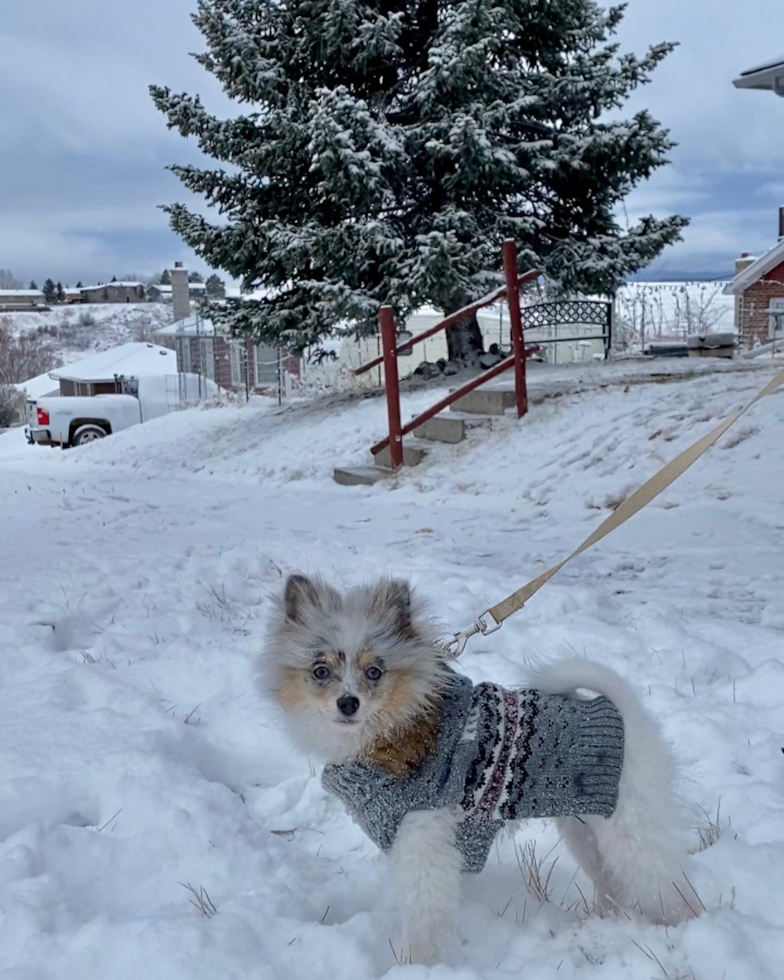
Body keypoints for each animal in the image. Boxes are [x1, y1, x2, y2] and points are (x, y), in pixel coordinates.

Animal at [264, 576, 692, 964]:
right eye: (320, 671)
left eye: (375, 672)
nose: (347, 703)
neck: (396, 730)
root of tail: (620, 710)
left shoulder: (425, 843)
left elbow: (423, 920)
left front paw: (416, 967)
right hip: (584, 828)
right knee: (611, 881)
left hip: (631, 831)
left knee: (665, 884)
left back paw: (682, 928)